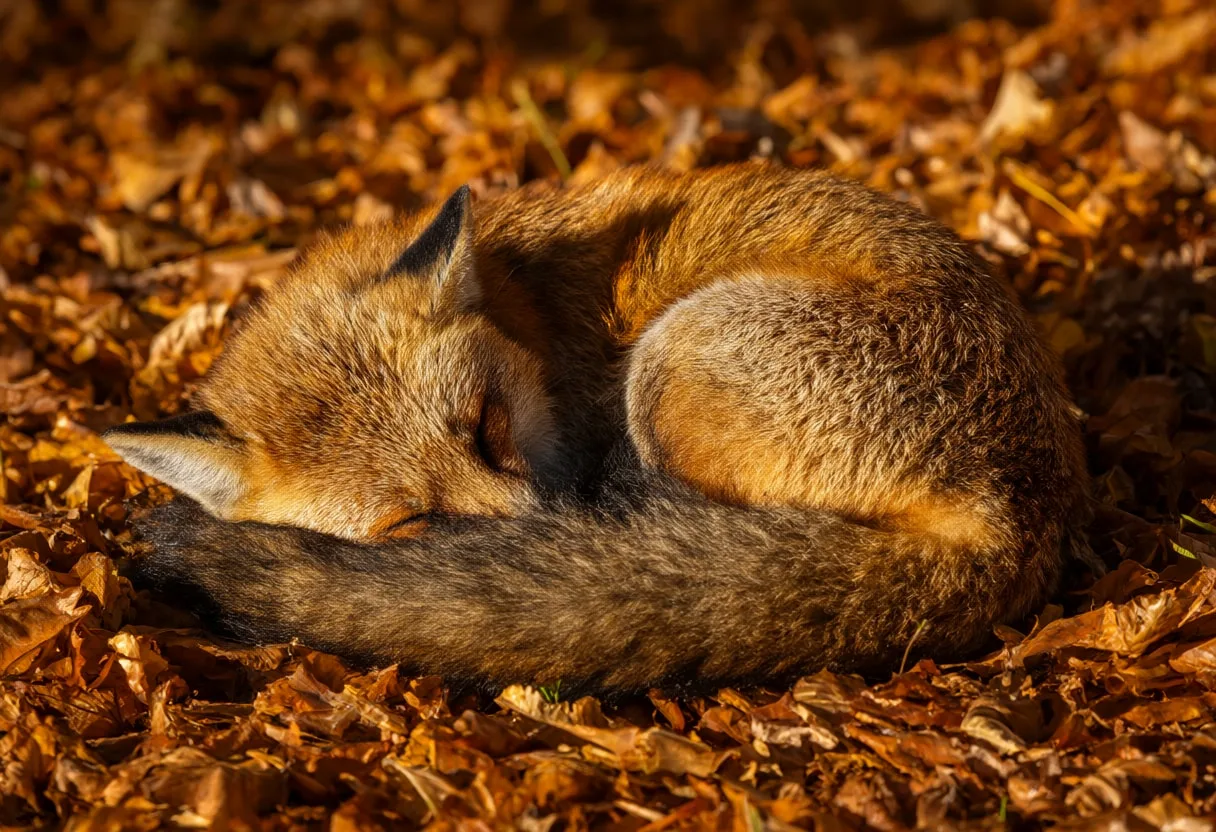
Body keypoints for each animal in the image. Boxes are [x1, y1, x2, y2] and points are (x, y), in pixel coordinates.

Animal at [105, 163, 1089, 690]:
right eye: (410, 522)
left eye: (487, 426)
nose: (546, 528)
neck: (531, 301)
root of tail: (1015, 519)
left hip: (671, 364)